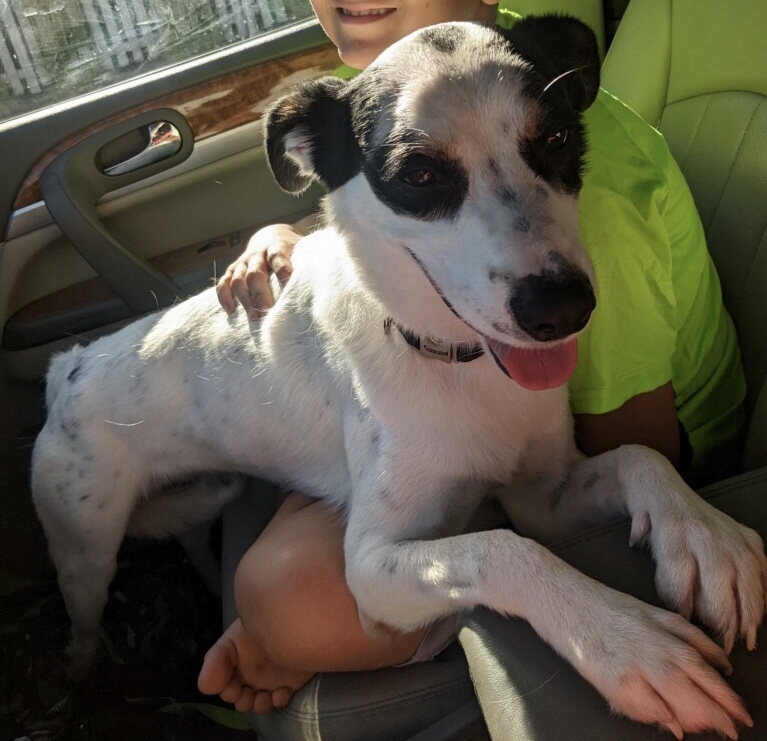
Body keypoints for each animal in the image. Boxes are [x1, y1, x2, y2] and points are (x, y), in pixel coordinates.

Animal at [31, 14, 767, 736]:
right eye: (416, 175)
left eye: (556, 137)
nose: (561, 309)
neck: (453, 364)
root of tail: (69, 366)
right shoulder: (370, 563)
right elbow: (504, 548)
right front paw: (627, 643)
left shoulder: (543, 496)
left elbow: (638, 457)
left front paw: (705, 535)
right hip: (84, 547)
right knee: (85, 618)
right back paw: (78, 680)